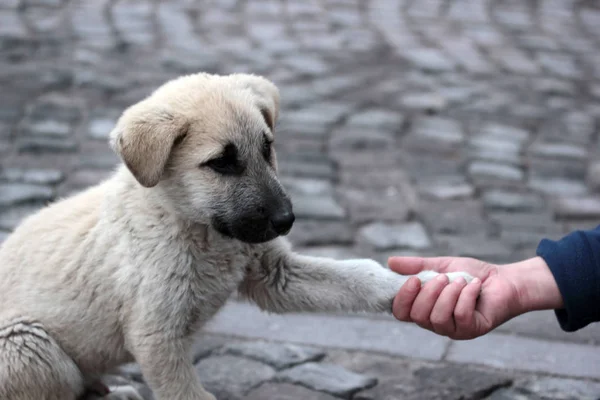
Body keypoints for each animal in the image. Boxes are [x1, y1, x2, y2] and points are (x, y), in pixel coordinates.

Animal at [0, 72, 472, 400]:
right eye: (221, 163)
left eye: (267, 148)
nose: (286, 220)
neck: (196, 228)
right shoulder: (156, 336)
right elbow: (187, 393)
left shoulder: (274, 273)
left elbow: (361, 274)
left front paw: (433, 283)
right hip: (29, 345)